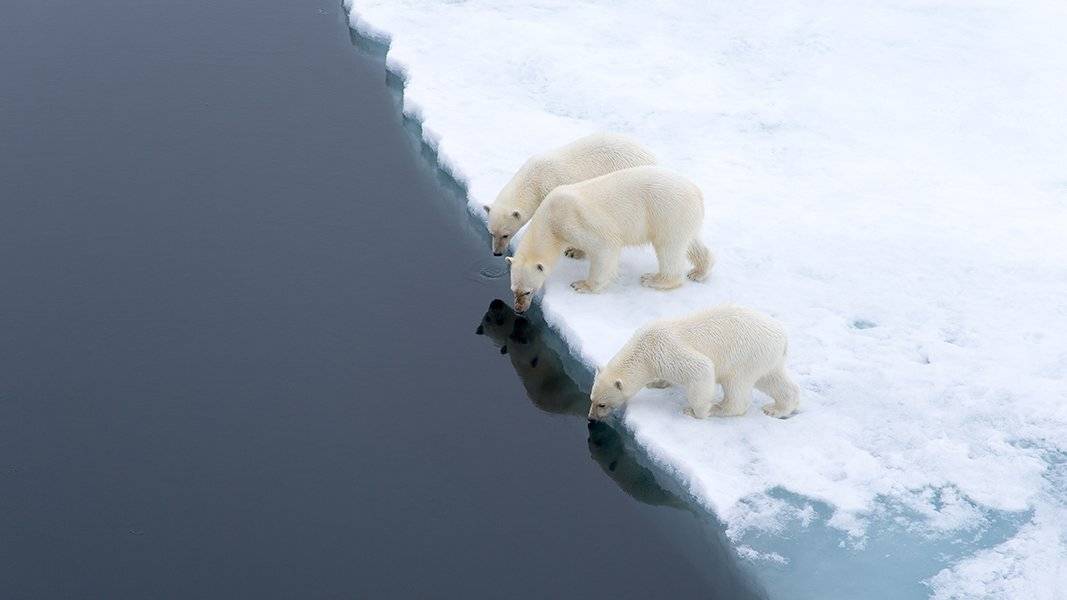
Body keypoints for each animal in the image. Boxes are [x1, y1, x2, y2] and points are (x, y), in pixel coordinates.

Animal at [484, 132, 656, 256]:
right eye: (491, 232)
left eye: (505, 235)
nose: (497, 253)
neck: (535, 179)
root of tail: (652, 159)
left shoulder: (552, 187)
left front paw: (571, 249)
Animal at [506, 164, 713, 312]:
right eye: (513, 289)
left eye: (528, 291)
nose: (519, 309)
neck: (550, 218)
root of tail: (697, 192)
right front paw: (573, 251)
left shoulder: (574, 220)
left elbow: (604, 247)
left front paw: (582, 285)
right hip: (682, 217)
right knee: (689, 242)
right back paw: (699, 271)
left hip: (667, 211)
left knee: (669, 248)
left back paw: (654, 279)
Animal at [588, 305, 800, 421]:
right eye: (591, 399)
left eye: (602, 405)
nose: (591, 417)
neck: (644, 349)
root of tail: (783, 337)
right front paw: (656, 382)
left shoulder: (665, 350)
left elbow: (701, 368)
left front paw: (695, 411)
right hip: (766, 357)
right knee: (772, 379)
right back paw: (777, 408)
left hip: (745, 356)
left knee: (737, 387)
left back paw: (719, 408)